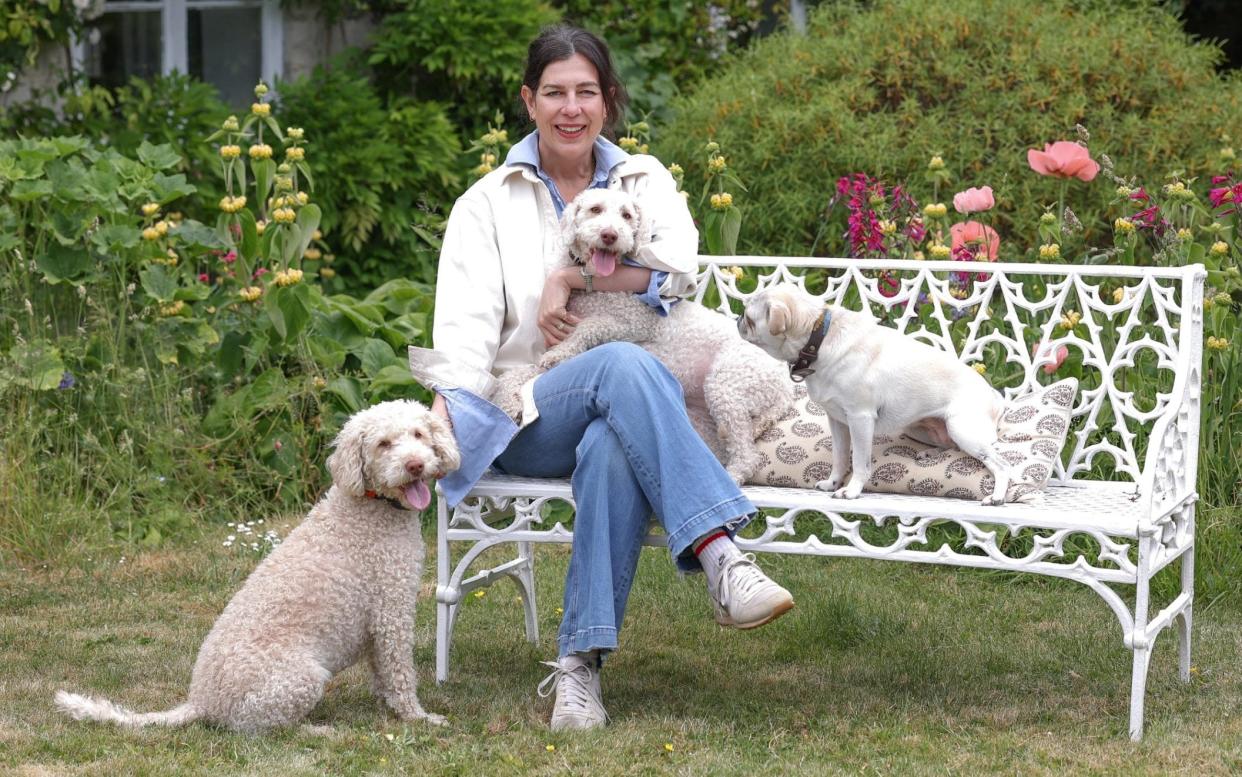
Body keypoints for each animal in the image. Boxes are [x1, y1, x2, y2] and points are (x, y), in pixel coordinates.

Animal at [54, 399, 457, 729]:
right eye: (383, 444)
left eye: (418, 434)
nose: (415, 464)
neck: (369, 507)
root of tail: (200, 702)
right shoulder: (391, 613)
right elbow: (400, 673)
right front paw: (417, 717)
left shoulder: (378, 626)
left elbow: (383, 675)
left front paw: (388, 707)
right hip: (302, 678)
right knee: (260, 729)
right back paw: (318, 730)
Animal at [735, 284, 1008, 501]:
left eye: (749, 318)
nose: (737, 318)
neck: (818, 337)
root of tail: (995, 397)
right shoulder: (837, 420)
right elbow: (840, 456)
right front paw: (833, 482)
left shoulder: (860, 418)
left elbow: (860, 462)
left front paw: (851, 490)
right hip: (917, 427)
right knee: (952, 446)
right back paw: (930, 453)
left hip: (962, 429)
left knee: (1000, 463)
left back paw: (996, 496)